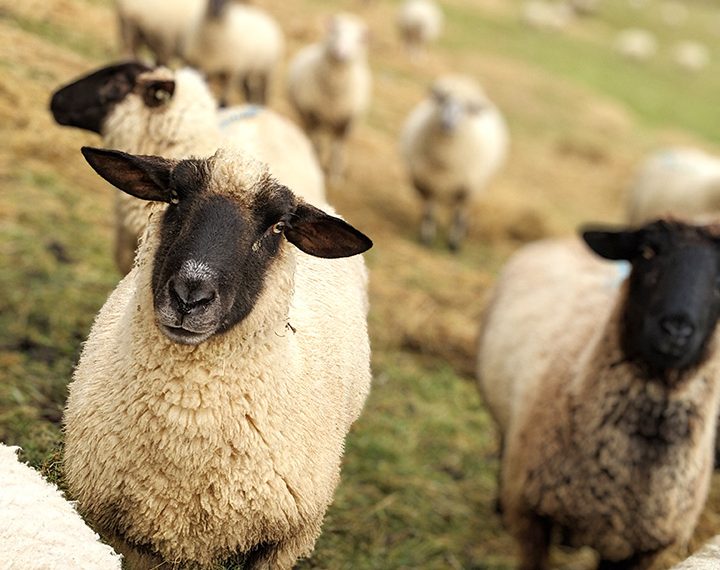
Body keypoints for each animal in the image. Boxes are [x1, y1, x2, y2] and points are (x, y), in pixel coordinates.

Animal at [287, 13, 372, 184]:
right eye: (335, 31)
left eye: (358, 39)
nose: (340, 53)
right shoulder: (313, 116)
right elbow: (317, 144)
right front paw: (317, 166)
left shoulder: (344, 123)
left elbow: (337, 150)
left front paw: (336, 177)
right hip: (306, 116)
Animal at [399, 74, 508, 250]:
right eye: (444, 100)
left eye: (467, 108)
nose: (448, 124)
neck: (445, 157)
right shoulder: (427, 183)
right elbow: (428, 213)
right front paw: (426, 239)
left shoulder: (466, 189)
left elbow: (458, 217)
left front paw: (454, 244)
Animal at [477, 219, 720, 569]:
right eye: (646, 252)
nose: (676, 330)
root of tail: (561, 240)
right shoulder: (531, 516)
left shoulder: (640, 548)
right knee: (502, 442)